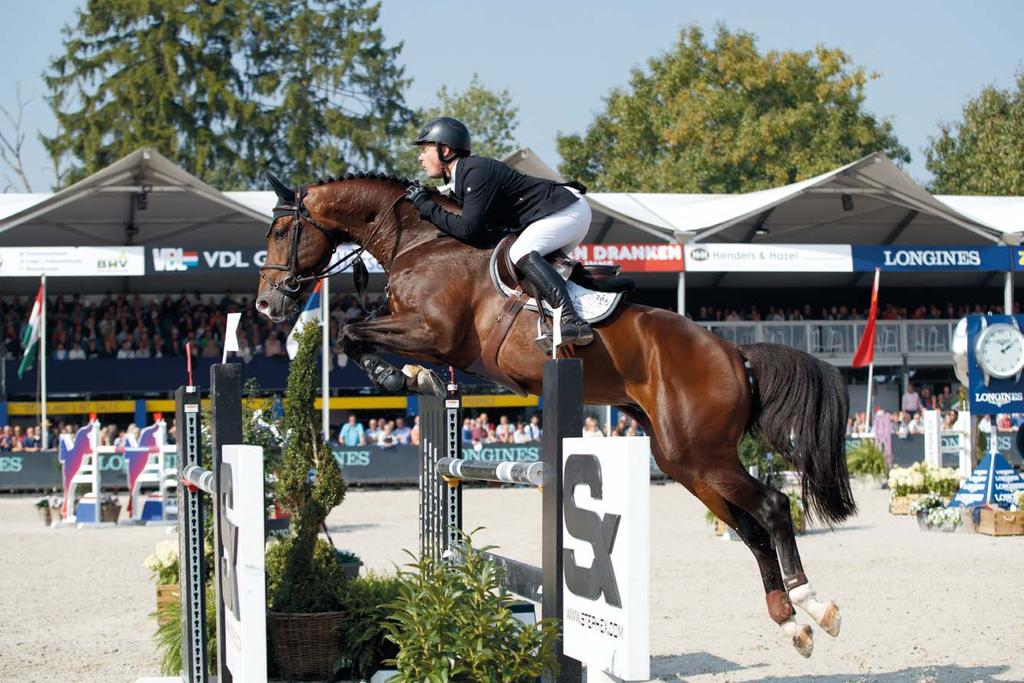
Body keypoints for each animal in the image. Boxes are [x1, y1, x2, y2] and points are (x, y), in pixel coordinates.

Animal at [256, 171, 856, 655]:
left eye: (281, 232)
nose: (266, 305)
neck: (418, 244)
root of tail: (734, 351)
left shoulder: (437, 335)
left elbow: (352, 332)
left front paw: (398, 377)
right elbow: (356, 335)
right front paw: (408, 378)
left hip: (703, 453)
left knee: (774, 506)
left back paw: (816, 604)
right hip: (684, 459)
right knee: (750, 527)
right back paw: (791, 624)